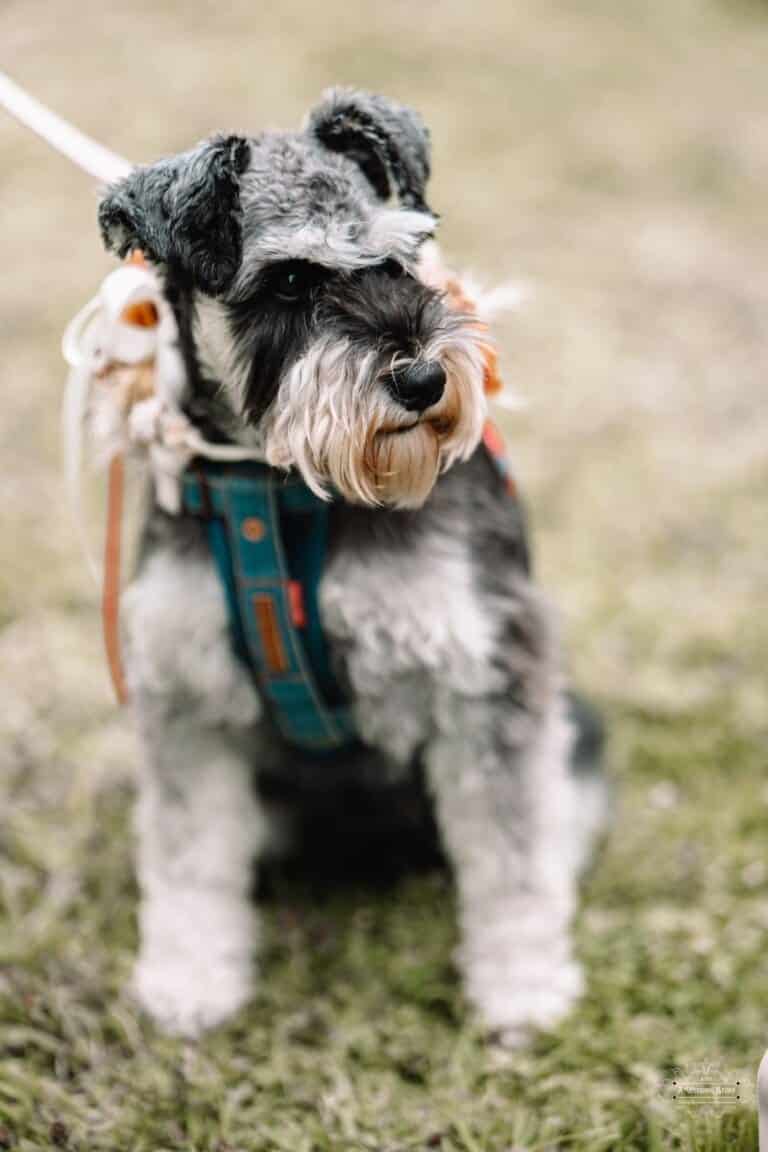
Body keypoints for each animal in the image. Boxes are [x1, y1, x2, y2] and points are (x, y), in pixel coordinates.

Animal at [96, 87, 607, 1046]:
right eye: (293, 280)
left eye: (404, 260)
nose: (422, 380)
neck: (288, 487)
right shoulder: (184, 697)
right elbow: (188, 859)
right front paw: (189, 982)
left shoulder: (488, 674)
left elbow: (513, 856)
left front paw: (522, 987)